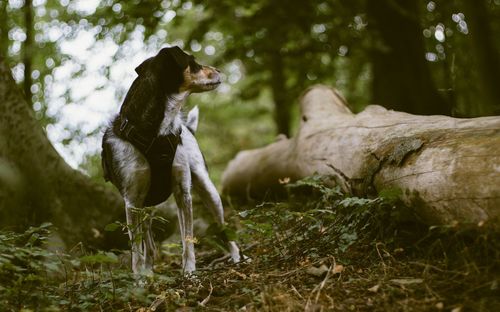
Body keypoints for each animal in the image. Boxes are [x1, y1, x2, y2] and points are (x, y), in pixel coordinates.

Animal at [100, 46, 241, 272]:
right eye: (194, 63)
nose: (219, 70)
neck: (157, 134)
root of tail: (188, 128)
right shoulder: (132, 201)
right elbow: (136, 250)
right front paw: (139, 277)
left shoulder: (183, 191)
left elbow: (187, 239)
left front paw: (189, 271)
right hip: (146, 207)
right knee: (148, 243)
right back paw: (148, 270)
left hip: (207, 189)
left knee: (223, 228)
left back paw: (236, 256)